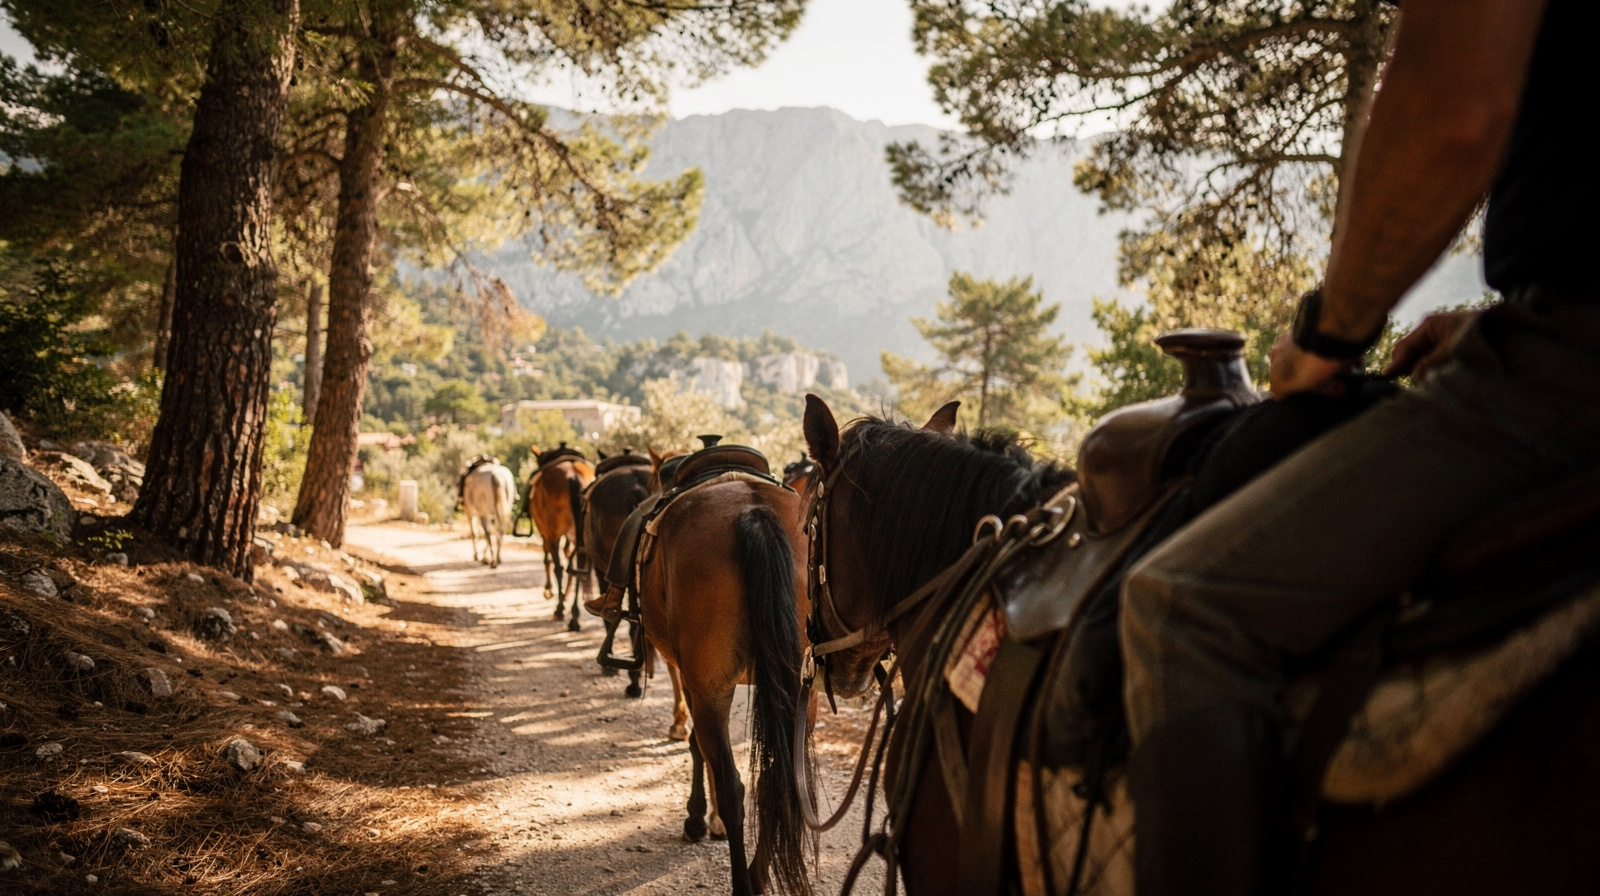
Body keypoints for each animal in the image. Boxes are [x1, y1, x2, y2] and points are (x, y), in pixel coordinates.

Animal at [524, 444, 595, 631]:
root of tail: (573, 476)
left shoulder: (546, 532)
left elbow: (548, 558)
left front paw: (550, 590)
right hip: (579, 534)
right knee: (578, 568)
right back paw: (574, 616)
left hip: (553, 531)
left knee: (559, 567)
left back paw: (560, 609)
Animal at [635, 446, 812, 896]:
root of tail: (755, 512)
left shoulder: (694, 680)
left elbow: (697, 746)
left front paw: (699, 817)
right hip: (803, 685)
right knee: (780, 780)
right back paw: (759, 874)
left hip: (712, 688)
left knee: (735, 787)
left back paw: (742, 880)